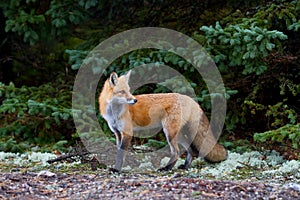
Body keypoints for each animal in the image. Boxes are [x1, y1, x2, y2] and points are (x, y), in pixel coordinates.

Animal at [99, 71, 227, 173]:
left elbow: (121, 154)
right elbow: (118, 152)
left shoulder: (127, 132)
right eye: (122, 92)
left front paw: (117, 169)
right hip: (177, 134)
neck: (114, 114)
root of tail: (191, 100)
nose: (135, 100)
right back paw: (185, 166)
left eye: (129, 91)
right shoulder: (117, 133)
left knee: (176, 152)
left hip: (169, 133)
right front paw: (116, 167)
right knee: (191, 150)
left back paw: (166, 168)